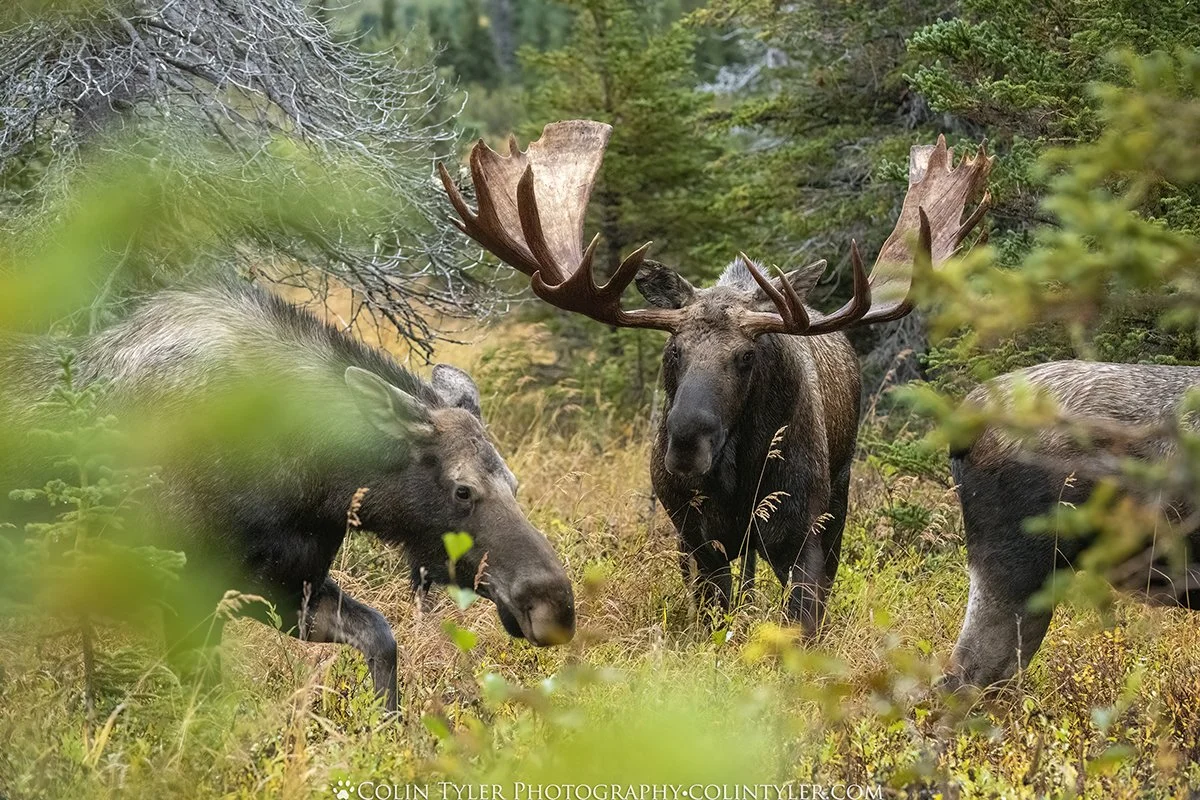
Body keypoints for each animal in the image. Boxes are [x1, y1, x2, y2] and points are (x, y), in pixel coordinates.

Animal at [438, 119, 991, 634]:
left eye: (747, 356)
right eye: (673, 349)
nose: (685, 442)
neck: (740, 478)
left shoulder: (801, 531)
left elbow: (803, 621)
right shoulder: (697, 536)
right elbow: (713, 615)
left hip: (840, 489)